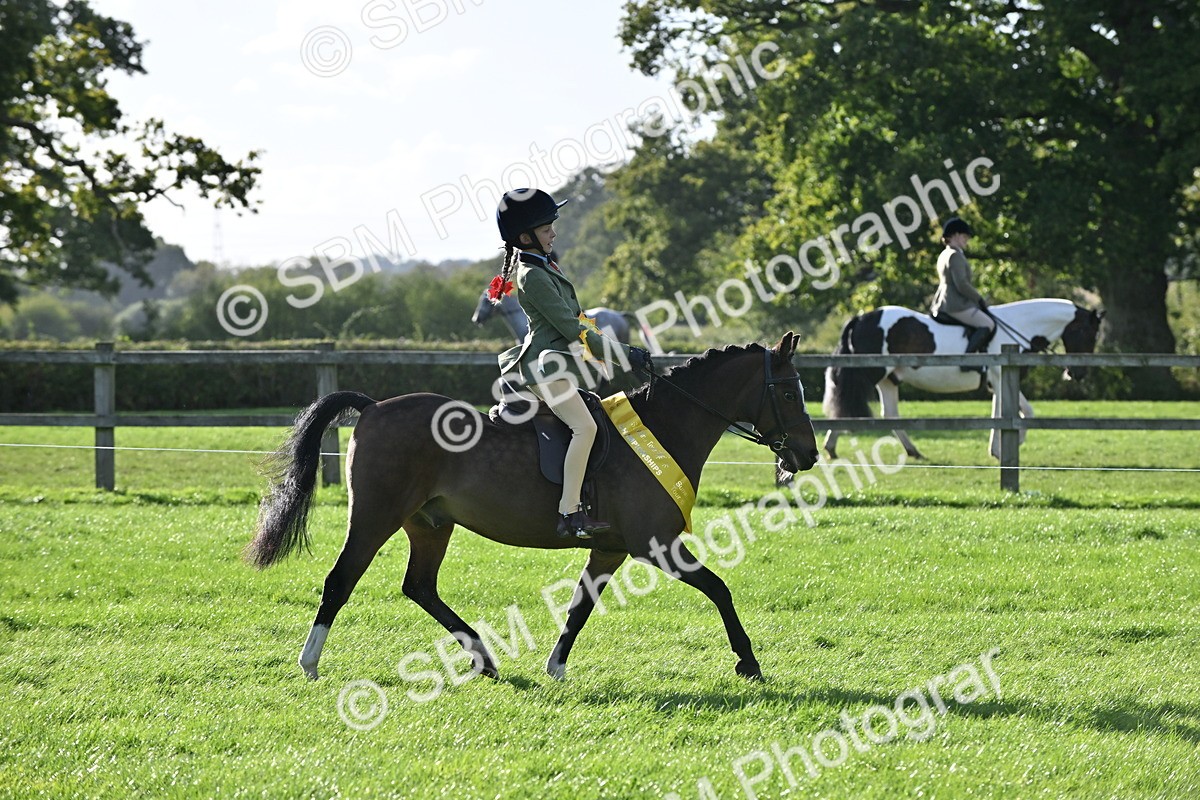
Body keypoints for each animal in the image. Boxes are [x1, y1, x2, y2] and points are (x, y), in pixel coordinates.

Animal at [245, 332, 820, 683]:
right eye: (791, 393)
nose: (808, 455)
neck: (664, 427)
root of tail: (372, 407)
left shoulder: (610, 550)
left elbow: (580, 607)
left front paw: (556, 667)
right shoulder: (655, 545)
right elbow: (719, 589)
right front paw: (748, 662)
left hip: (430, 524)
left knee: (420, 587)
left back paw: (483, 658)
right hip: (374, 518)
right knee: (341, 580)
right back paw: (310, 663)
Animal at [823, 299, 1103, 460]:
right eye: (1087, 332)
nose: (1077, 374)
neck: (1017, 327)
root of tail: (861, 317)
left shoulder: (998, 381)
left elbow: (1001, 414)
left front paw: (997, 450)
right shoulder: (1001, 378)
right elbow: (1024, 412)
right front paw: (1015, 443)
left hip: (889, 380)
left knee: (888, 415)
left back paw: (913, 451)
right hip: (869, 373)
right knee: (845, 406)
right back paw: (830, 447)